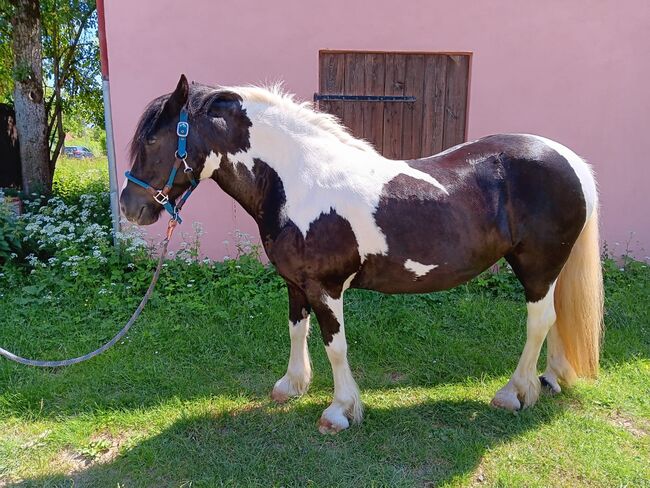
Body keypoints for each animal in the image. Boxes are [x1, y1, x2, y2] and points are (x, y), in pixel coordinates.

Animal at [120, 74, 604, 432]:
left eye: (152, 141)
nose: (130, 207)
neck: (299, 181)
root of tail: (570, 160)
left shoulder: (326, 288)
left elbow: (336, 346)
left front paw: (339, 411)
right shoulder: (295, 283)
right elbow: (296, 330)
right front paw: (291, 385)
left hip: (537, 267)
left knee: (539, 321)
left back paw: (513, 393)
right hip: (549, 270)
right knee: (555, 320)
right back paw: (549, 380)